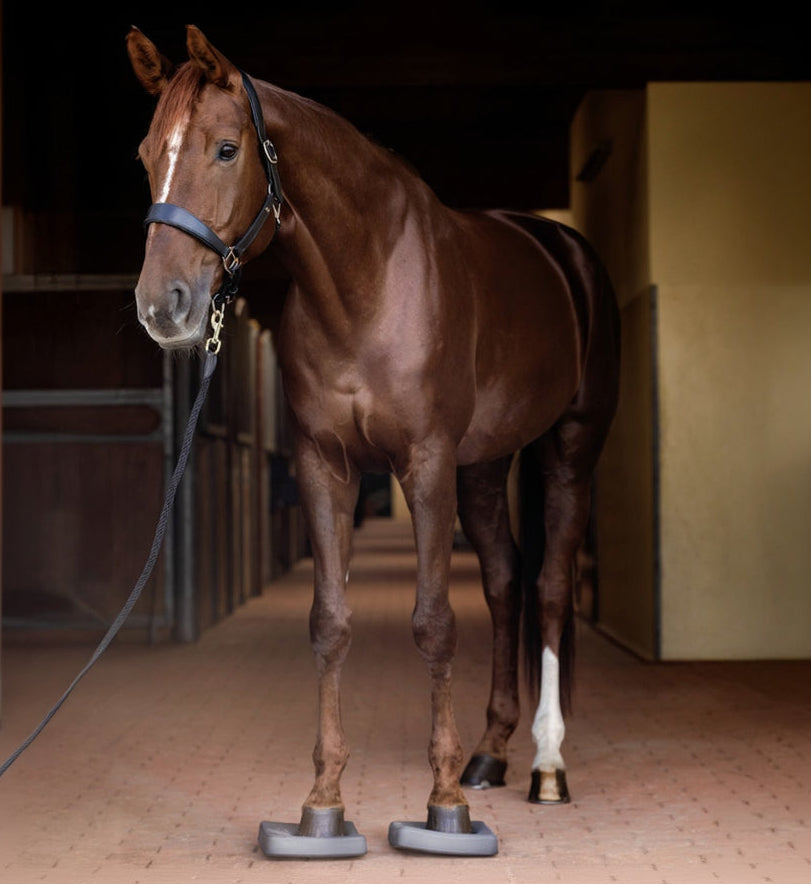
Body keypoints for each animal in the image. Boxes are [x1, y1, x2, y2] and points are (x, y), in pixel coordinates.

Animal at [126, 25, 620, 855]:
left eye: (225, 149)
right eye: (142, 154)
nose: (163, 306)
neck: (368, 280)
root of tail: (567, 251)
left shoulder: (424, 464)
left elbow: (434, 622)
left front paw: (444, 804)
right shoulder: (325, 465)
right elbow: (330, 623)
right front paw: (322, 802)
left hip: (569, 450)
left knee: (550, 586)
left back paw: (546, 767)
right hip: (483, 466)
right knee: (505, 578)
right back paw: (490, 752)